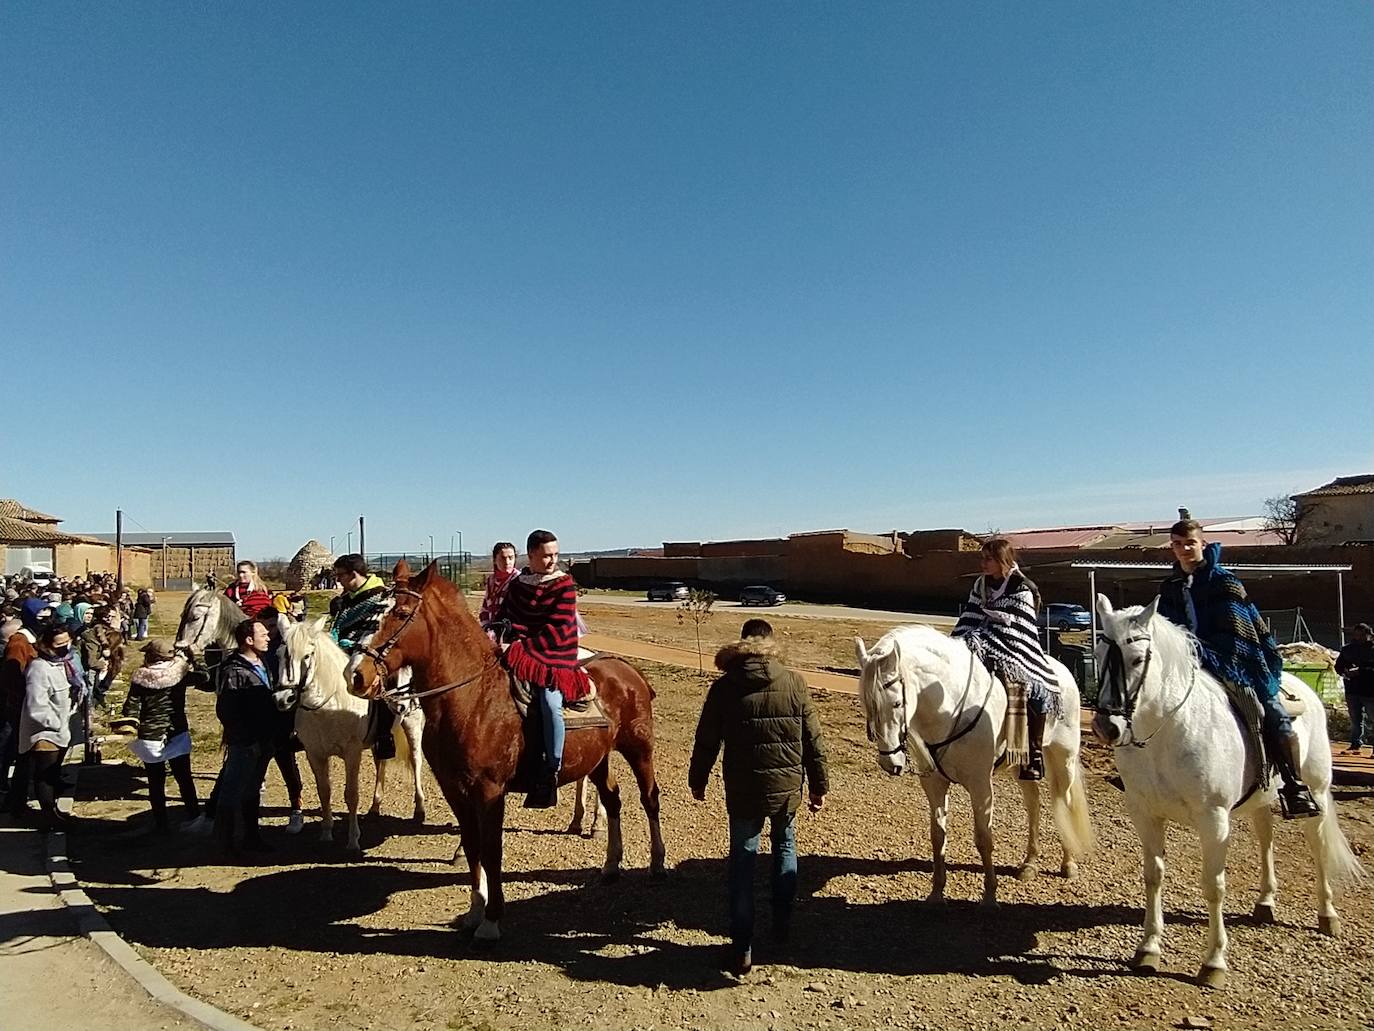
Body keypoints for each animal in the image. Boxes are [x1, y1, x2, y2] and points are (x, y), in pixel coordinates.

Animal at [276, 618, 425, 852]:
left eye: (307, 655)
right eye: (279, 654)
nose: (283, 698)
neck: (329, 705)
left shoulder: (352, 753)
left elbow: (351, 795)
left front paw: (353, 840)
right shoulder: (315, 754)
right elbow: (324, 791)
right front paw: (326, 833)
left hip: (413, 725)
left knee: (416, 762)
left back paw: (419, 810)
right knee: (381, 763)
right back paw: (375, 806)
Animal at [343, 560, 665, 940]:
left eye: (402, 613)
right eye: (372, 614)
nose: (355, 675)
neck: (474, 699)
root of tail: (626, 669)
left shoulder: (490, 790)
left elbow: (492, 851)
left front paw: (491, 922)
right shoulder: (455, 789)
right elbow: (472, 846)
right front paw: (473, 912)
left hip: (638, 747)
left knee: (649, 799)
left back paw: (657, 864)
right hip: (597, 759)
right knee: (613, 799)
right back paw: (612, 865)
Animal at [851, 626, 1088, 907]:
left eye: (897, 703)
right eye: (866, 704)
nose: (890, 762)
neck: (950, 708)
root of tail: (1063, 671)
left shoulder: (980, 786)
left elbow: (984, 838)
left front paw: (990, 896)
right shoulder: (935, 784)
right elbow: (938, 835)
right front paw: (936, 893)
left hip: (1064, 759)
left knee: (1064, 803)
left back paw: (1069, 864)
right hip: (1022, 766)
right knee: (1033, 804)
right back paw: (1029, 864)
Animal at [1088, 602, 1357, 989]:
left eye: (1137, 659)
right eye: (1097, 654)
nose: (1106, 726)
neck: (1168, 729)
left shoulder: (1213, 819)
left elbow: (1213, 886)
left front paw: (1213, 961)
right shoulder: (1145, 813)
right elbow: (1153, 876)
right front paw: (1148, 948)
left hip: (1317, 793)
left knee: (1318, 849)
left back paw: (1327, 915)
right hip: (1262, 799)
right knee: (1265, 839)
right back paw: (1265, 902)